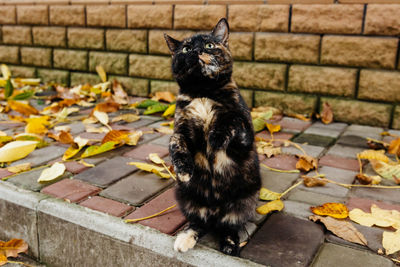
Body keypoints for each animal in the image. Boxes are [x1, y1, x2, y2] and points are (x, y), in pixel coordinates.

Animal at [164, 18, 260, 258]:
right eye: (186, 49)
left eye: (209, 45)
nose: (197, 51)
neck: (203, 93)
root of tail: (215, 209)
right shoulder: (181, 128)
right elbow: (174, 142)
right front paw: (184, 169)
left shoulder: (245, 135)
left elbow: (232, 121)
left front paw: (216, 137)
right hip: (186, 199)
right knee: (199, 223)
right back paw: (184, 239)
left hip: (242, 205)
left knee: (228, 226)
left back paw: (229, 245)